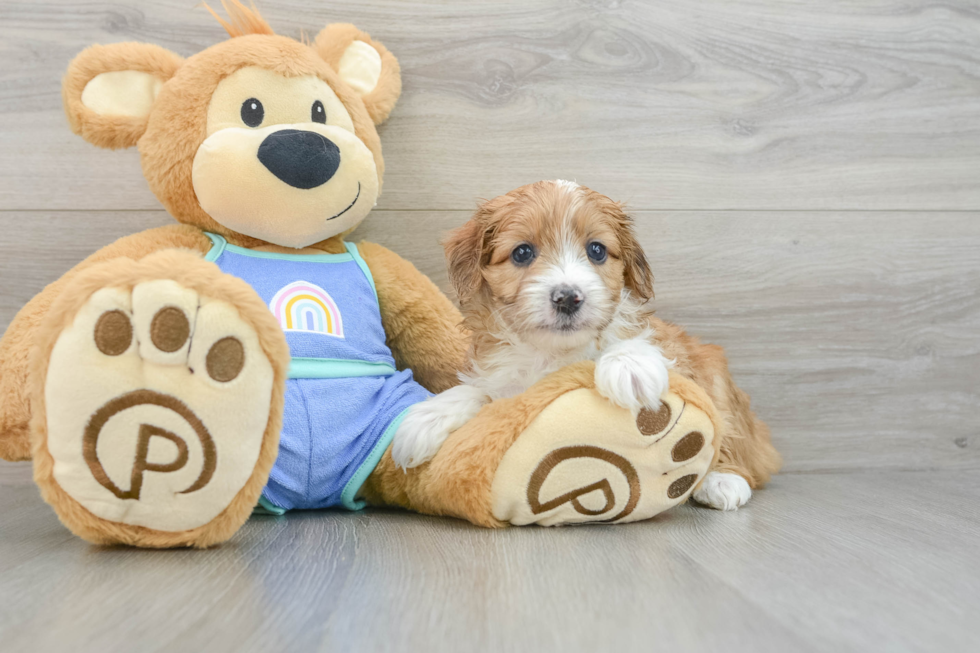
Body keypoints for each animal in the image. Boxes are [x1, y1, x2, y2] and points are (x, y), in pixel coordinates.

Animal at [390, 180, 780, 510]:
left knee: (732, 435)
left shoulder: (675, 354)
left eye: (596, 250)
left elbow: (636, 343)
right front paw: (429, 417)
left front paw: (629, 367)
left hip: (717, 377)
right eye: (522, 253)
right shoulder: (507, 383)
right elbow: (480, 392)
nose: (567, 297)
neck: (554, 353)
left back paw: (723, 480)